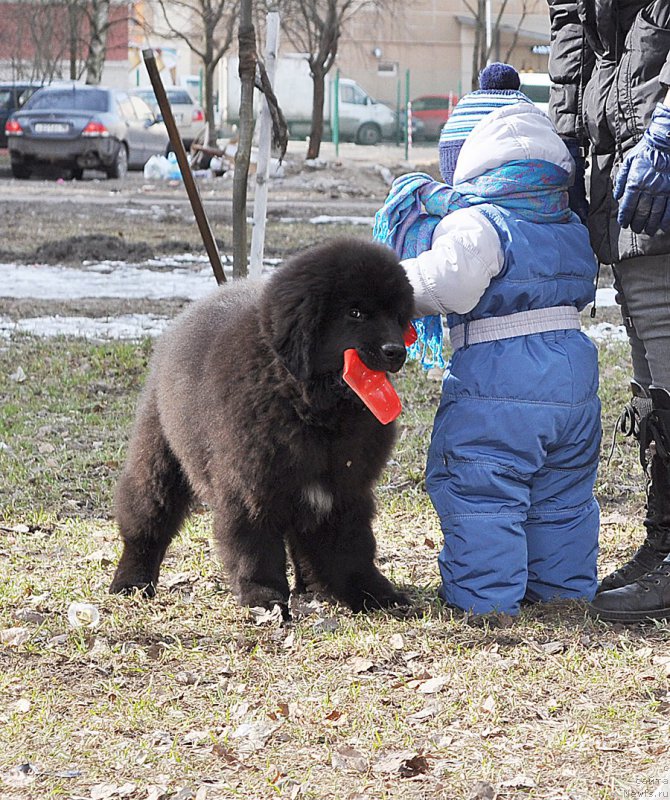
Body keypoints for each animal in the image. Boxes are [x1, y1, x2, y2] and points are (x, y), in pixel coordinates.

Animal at [109, 238, 414, 612]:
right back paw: (131, 581)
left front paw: (372, 592)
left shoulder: (344, 487)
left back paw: (312, 588)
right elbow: (255, 545)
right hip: (158, 456)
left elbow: (350, 546)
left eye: (397, 316)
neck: (309, 407)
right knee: (147, 519)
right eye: (355, 313)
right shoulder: (251, 486)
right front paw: (263, 596)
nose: (396, 351)